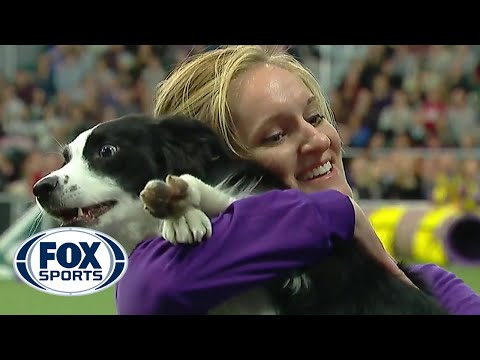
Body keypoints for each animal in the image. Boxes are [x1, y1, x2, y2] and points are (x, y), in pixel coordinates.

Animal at [34, 114, 450, 314]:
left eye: (107, 151)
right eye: (66, 158)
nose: (41, 188)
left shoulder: (328, 267)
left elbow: (241, 201)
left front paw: (184, 203)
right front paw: (181, 210)